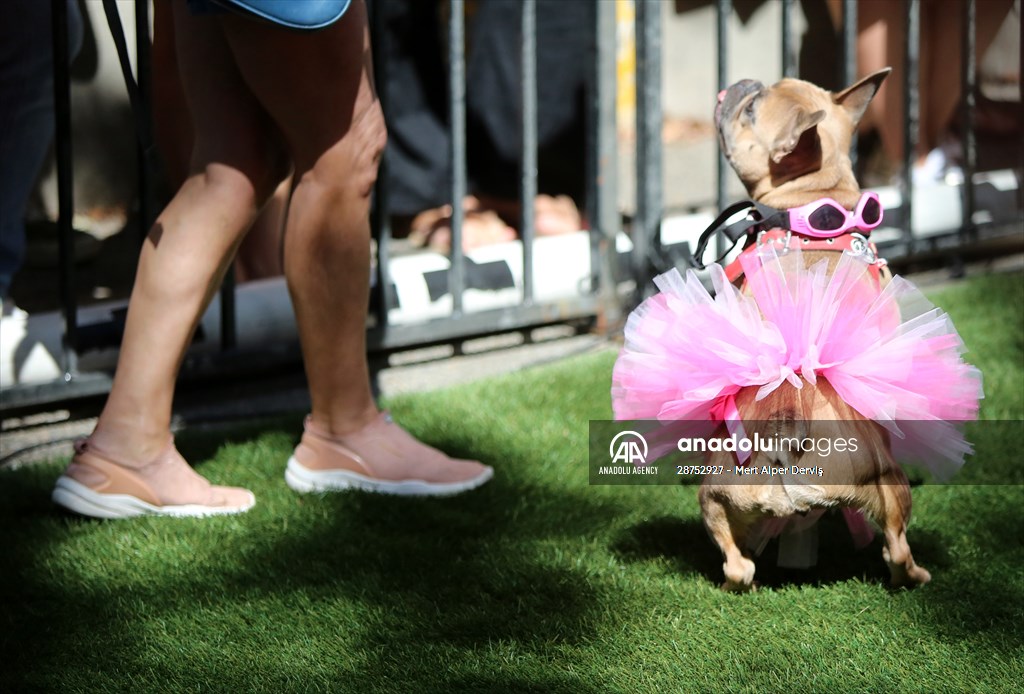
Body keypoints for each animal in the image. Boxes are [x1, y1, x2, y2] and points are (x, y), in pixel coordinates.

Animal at [610, 69, 978, 593]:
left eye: (750, 110)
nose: (745, 83)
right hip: (891, 488)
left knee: (738, 565)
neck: (812, 201)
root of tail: (786, 432)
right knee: (896, 550)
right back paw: (916, 575)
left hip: (715, 496)